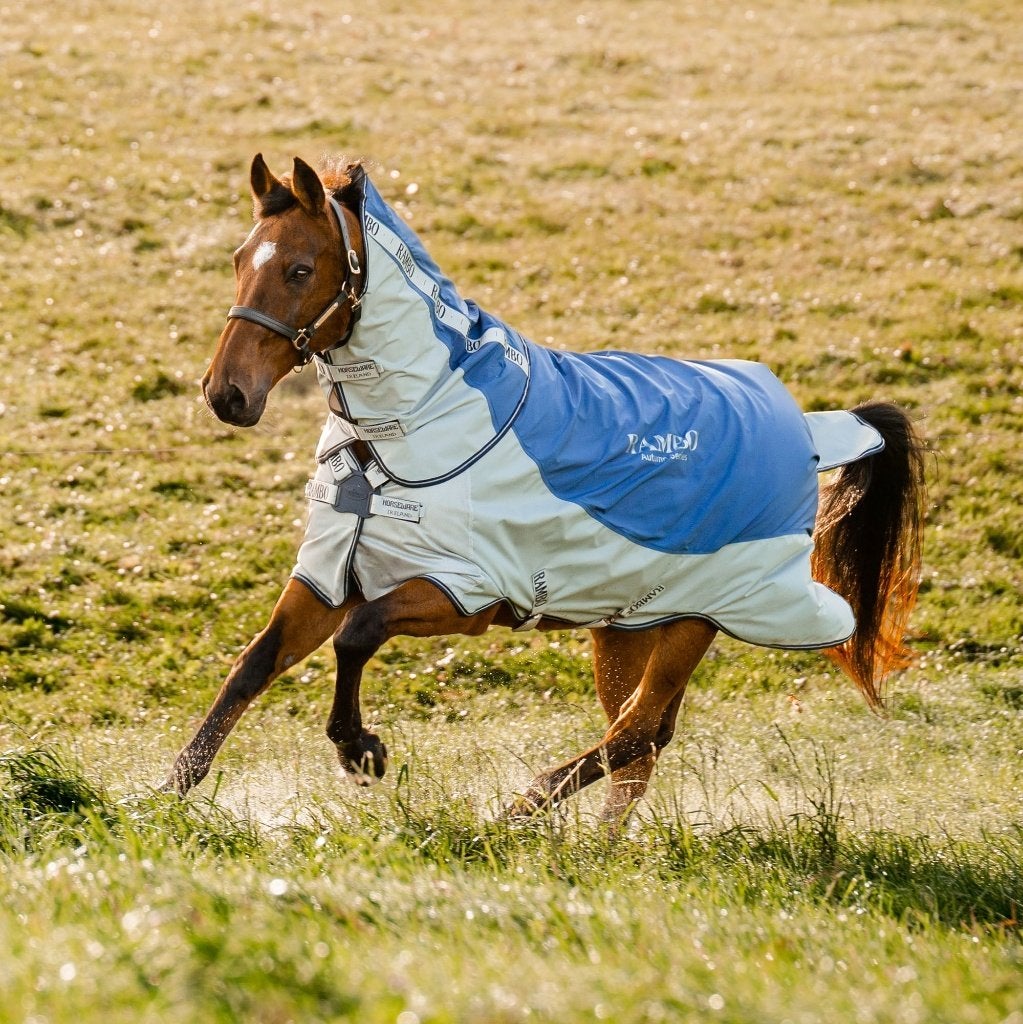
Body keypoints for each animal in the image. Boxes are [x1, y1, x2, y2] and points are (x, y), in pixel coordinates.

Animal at [166, 154, 925, 822]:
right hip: (628, 627)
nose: (226, 394)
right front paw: (167, 794)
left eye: (299, 269)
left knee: (633, 735)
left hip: (698, 619)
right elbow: (253, 665)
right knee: (640, 745)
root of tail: (807, 425)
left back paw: (519, 814)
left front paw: (362, 752)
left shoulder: (461, 592)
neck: (392, 441)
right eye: (239, 259)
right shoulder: (328, 577)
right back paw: (597, 844)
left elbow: (358, 635)